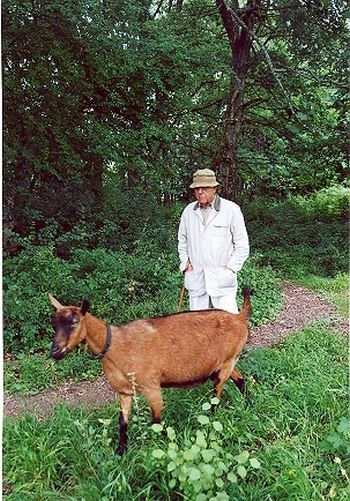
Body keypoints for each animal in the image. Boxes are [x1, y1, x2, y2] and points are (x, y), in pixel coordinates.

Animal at [50, 288, 252, 456]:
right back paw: (248, 404)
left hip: (226, 363)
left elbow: (156, 422)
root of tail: (239, 318)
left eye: (74, 322)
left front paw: (160, 448)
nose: (55, 352)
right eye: (54, 324)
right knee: (240, 379)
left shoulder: (152, 389)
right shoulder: (124, 392)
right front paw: (120, 452)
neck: (116, 346)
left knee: (216, 396)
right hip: (224, 364)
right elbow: (122, 422)